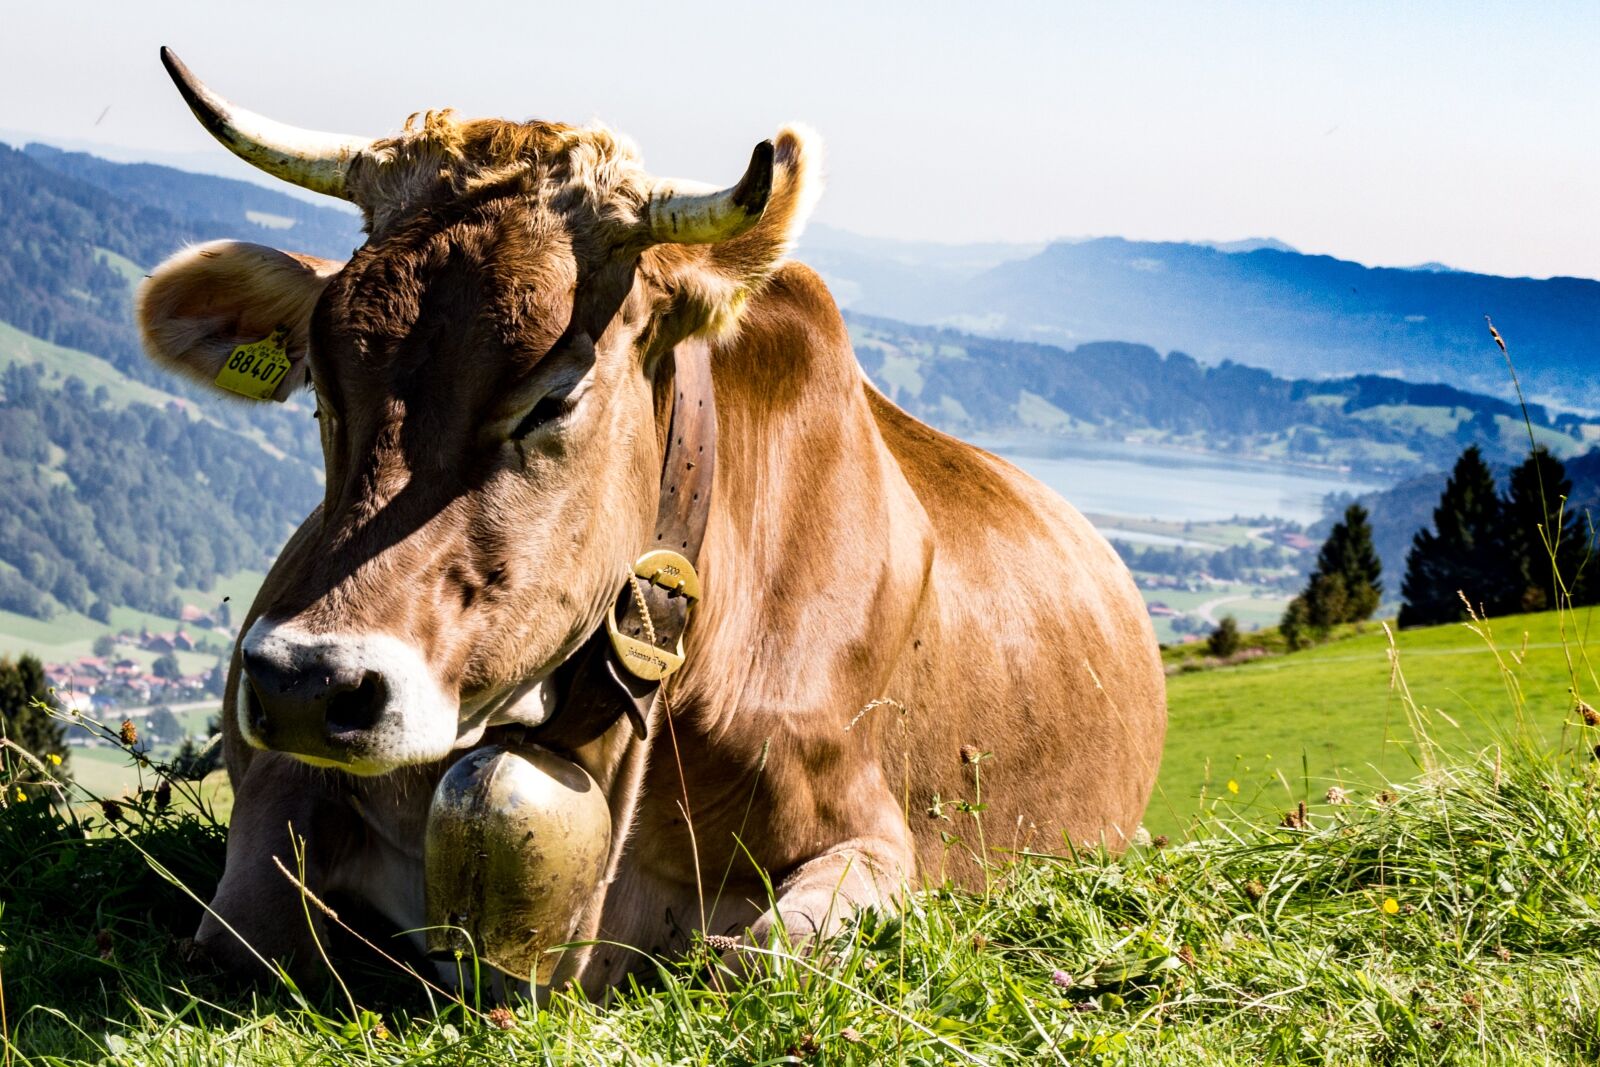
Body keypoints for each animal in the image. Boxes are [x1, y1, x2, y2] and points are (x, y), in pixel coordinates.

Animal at [137, 45, 1164, 991]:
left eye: (555, 395)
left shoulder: (876, 839)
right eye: (323, 384)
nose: (308, 684)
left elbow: (758, 959)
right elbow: (239, 929)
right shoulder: (278, 783)